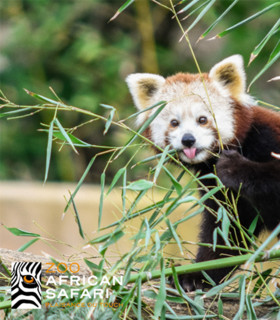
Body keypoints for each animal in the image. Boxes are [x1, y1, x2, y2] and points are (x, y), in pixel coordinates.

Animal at [126, 55, 280, 290]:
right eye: (174, 123)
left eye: (202, 119)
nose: (188, 140)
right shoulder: (216, 188)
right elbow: (226, 233)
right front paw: (196, 275)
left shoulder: (267, 138)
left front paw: (233, 167)